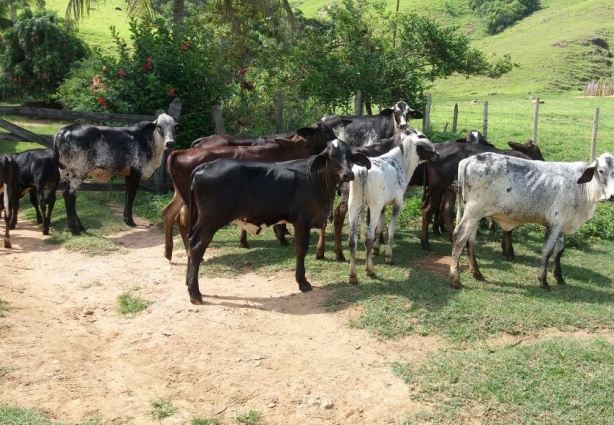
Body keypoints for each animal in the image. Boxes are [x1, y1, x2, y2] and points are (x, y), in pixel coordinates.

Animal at [186, 141, 370, 304]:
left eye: (350, 156)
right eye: (332, 156)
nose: (348, 174)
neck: (316, 179)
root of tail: (203, 167)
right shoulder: (301, 220)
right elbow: (301, 249)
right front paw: (303, 283)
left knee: (191, 242)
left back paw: (189, 284)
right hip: (211, 220)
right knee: (197, 247)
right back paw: (195, 294)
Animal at [450, 152, 614, 288]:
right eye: (601, 171)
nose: (612, 196)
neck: (580, 186)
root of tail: (469, 159)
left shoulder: (561, 224)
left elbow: (559, 251)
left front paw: (559, 278)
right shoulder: (553, 223)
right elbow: (547, 250)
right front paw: (543, 281)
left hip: (475, 214)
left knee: (470, 239)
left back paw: (477, 272)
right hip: (473, 211)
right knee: (459, 236)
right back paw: (455, 278)